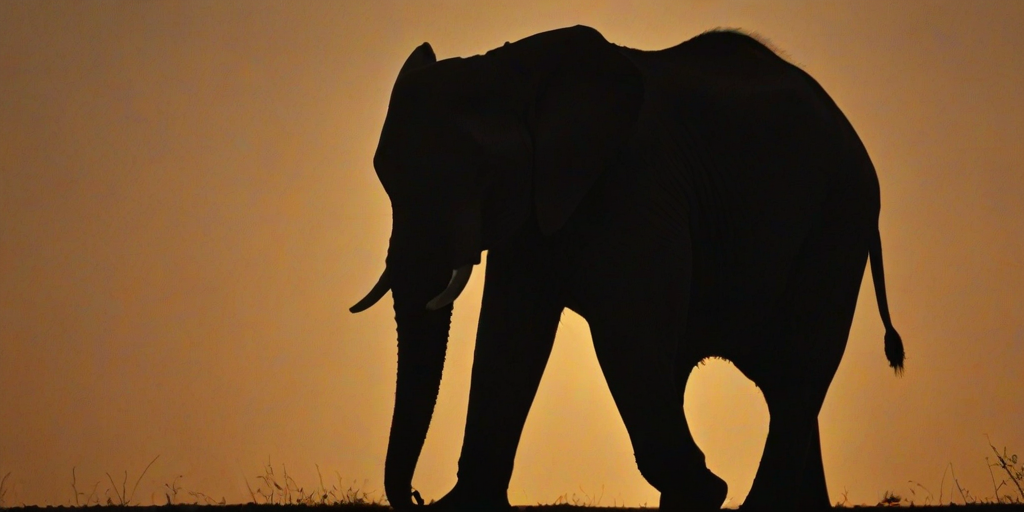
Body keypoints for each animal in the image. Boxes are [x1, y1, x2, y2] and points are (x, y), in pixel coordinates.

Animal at [350, 25, 905, 511]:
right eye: (384, 177)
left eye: (485, 173)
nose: (415, 496)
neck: (515, 68)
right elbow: (510, 334)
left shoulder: (636, 183)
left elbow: (627, 330)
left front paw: (706, 492)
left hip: (840, 219)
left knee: (799, 368)